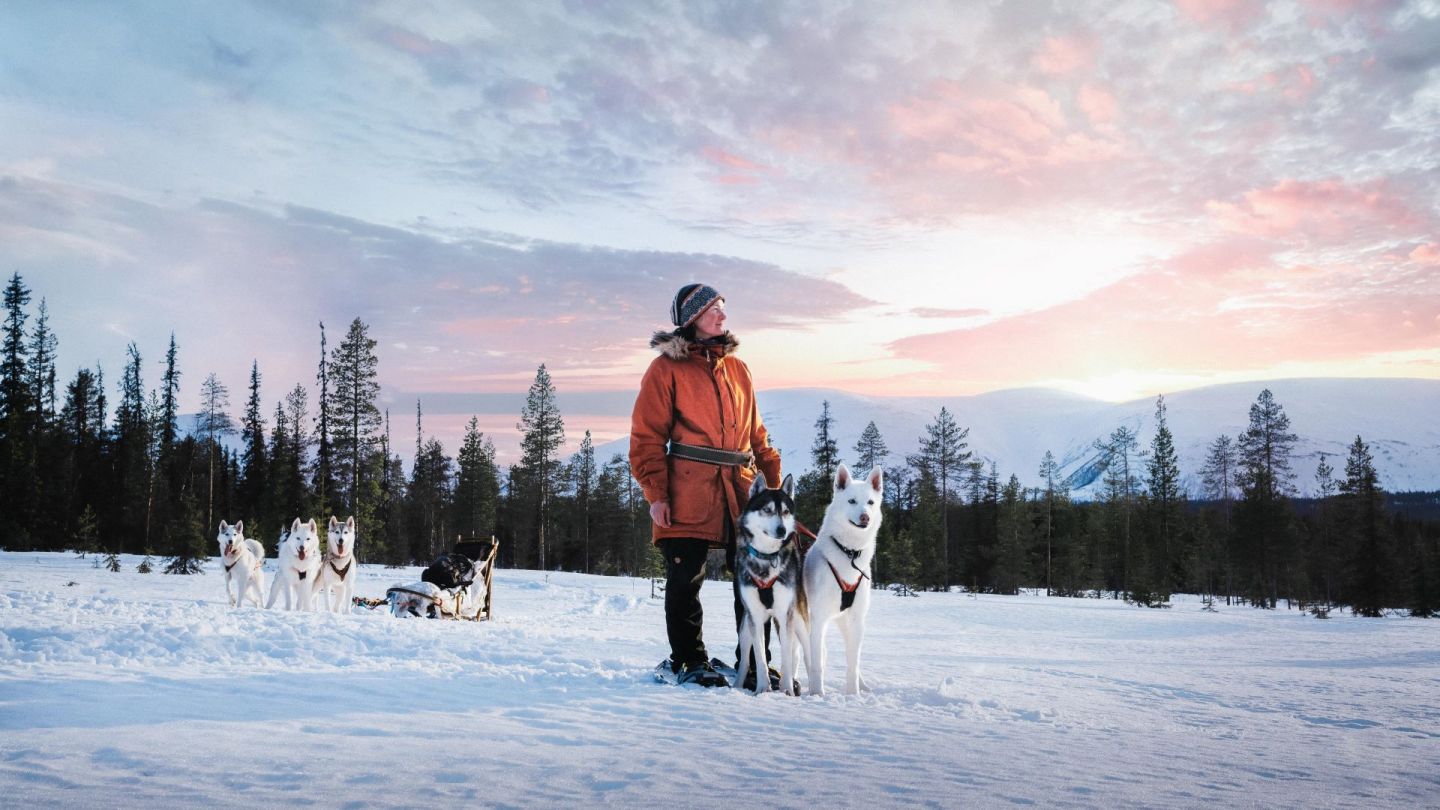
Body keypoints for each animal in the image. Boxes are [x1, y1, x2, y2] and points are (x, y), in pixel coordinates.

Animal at [737, 472, 806, 694]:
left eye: (785, 512)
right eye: (767, 510)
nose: (782, 530)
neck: (767, 557)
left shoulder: (785, 616)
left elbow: (786, 658)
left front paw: (787, 690)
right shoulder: (755, 618)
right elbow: (759, 659)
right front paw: (762, 689)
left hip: (799, 622)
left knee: (802, 654)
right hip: (745, 628)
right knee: (744, 661)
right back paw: (737, 685)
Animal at [806, 461, 881, 694]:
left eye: (870, 502)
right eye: (851, 501)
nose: (865, 517)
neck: (849, 553)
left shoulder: (857, 619)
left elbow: (853, 663)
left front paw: (853, 694)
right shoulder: (818, 619)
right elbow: (816, 663)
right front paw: (817, 694)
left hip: (844, 623)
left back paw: (863, 686)